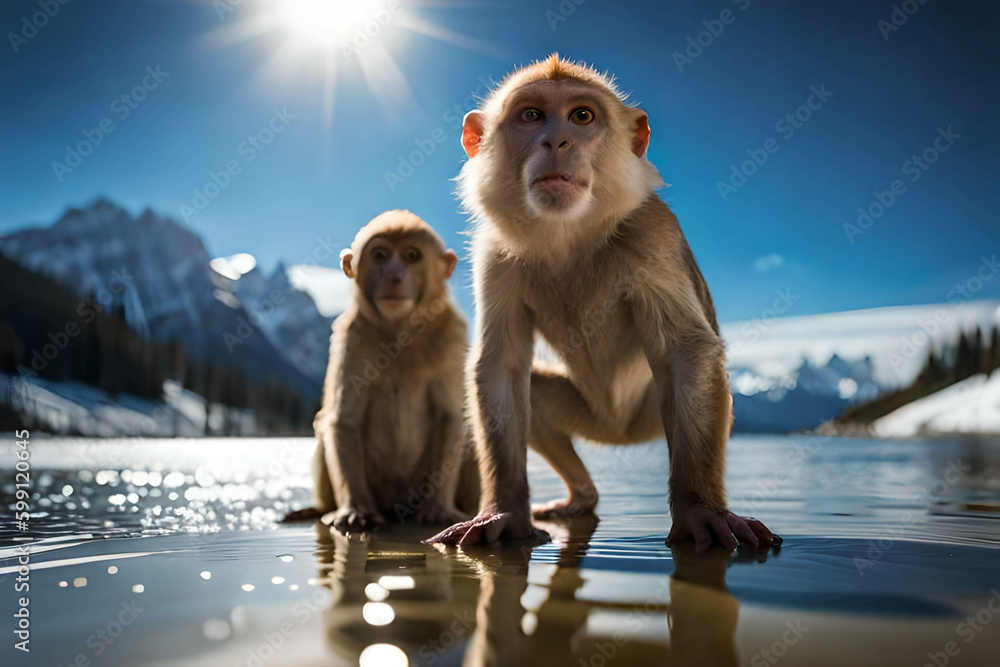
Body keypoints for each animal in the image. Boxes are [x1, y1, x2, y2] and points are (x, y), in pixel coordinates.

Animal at [286, 210, 477, 534]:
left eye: (412, 255)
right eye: (380, 255)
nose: (394, 275)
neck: (400, 333)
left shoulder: (453, 335)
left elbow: (451, 416)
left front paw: (438, 508)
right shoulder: (353, 337)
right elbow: (345, 421)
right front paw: (356, 509)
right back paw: (320, 510)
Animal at [426, 55, 779, 552]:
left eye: (581, 116)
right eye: (531, 115)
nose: (557, 140)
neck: (567, 235)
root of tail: (618, 434)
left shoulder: (653, 231)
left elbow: (685, 351)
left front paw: (700, 510)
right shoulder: (495, 253)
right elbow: (503, 367)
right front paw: (504, 512)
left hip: (647, 415)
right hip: (592, 416)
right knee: (536, 393)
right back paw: (583, 496)